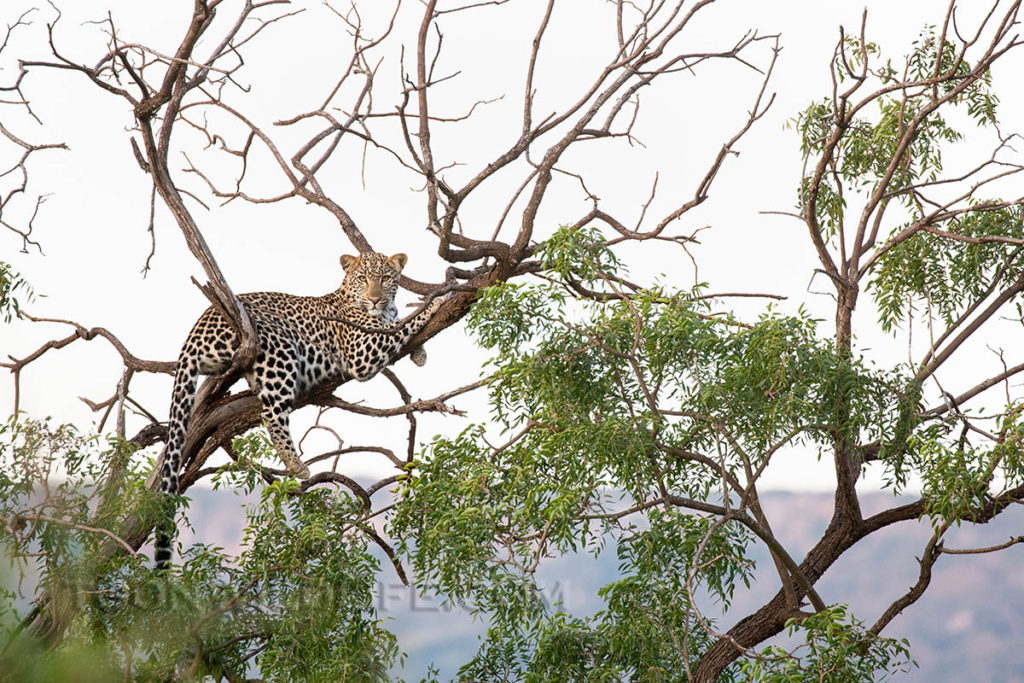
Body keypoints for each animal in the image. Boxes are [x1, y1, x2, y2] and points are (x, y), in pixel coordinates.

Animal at [154, 252, 446, 569]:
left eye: (385, 278)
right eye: (363, 279)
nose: (375, 299)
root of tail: (198, 325)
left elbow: (396, 326)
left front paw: (420, 352)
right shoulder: (361, 350)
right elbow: (399, 326)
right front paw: (436, 302)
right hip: (279, 349)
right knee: (270, 413)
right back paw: (297, 465)